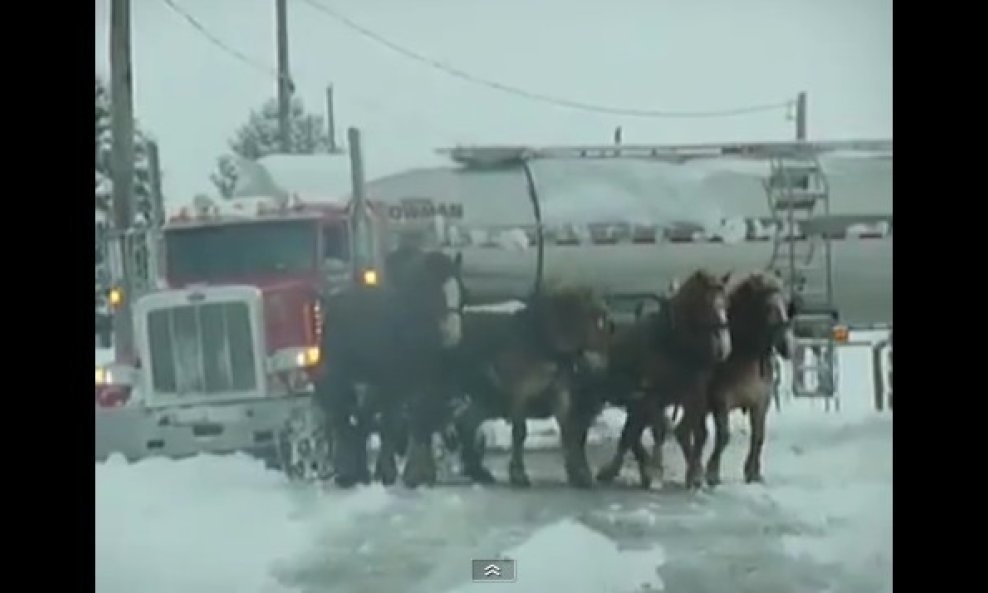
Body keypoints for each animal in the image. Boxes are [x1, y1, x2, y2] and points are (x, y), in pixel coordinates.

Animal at [316, 247, 470, 488]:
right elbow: (392, 425)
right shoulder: (393, 386)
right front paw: (389, 472)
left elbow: (420, 420)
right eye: (437, 293)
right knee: (341, 417)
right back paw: (347, 472)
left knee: (362, 418)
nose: (453, 335)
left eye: (462, 291)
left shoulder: (420, 387)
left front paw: (415, 473)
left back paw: (360, 471)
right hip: (342, 377)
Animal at [446, 286, 612, 486]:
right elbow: (520, 432)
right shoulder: (521, 392)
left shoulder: (558, 392)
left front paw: (578, 475)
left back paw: (477, 471)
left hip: (489, 399)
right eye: (595, 317)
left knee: (466, 423)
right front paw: (518, 473)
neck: (541, 342)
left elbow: (568, 431)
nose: (601, 365)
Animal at [592, 270, 728, 488]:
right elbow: (660, 431)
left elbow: (697, 433)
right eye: (706, 303)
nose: (722, 347)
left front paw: (694, 472)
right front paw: (656, 469)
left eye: (726, 302)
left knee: (632, 432)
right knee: (632, 433)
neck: (673, 344)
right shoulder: (652, 395)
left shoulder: (694, 395)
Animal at [704, 272, 796, 486]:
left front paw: (752, 472)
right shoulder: (720, 401)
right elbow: (723, 436)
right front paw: (712, 473)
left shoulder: (761, 403)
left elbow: (758, 436)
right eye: (769, 307)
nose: (788, 346)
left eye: (786, 304)